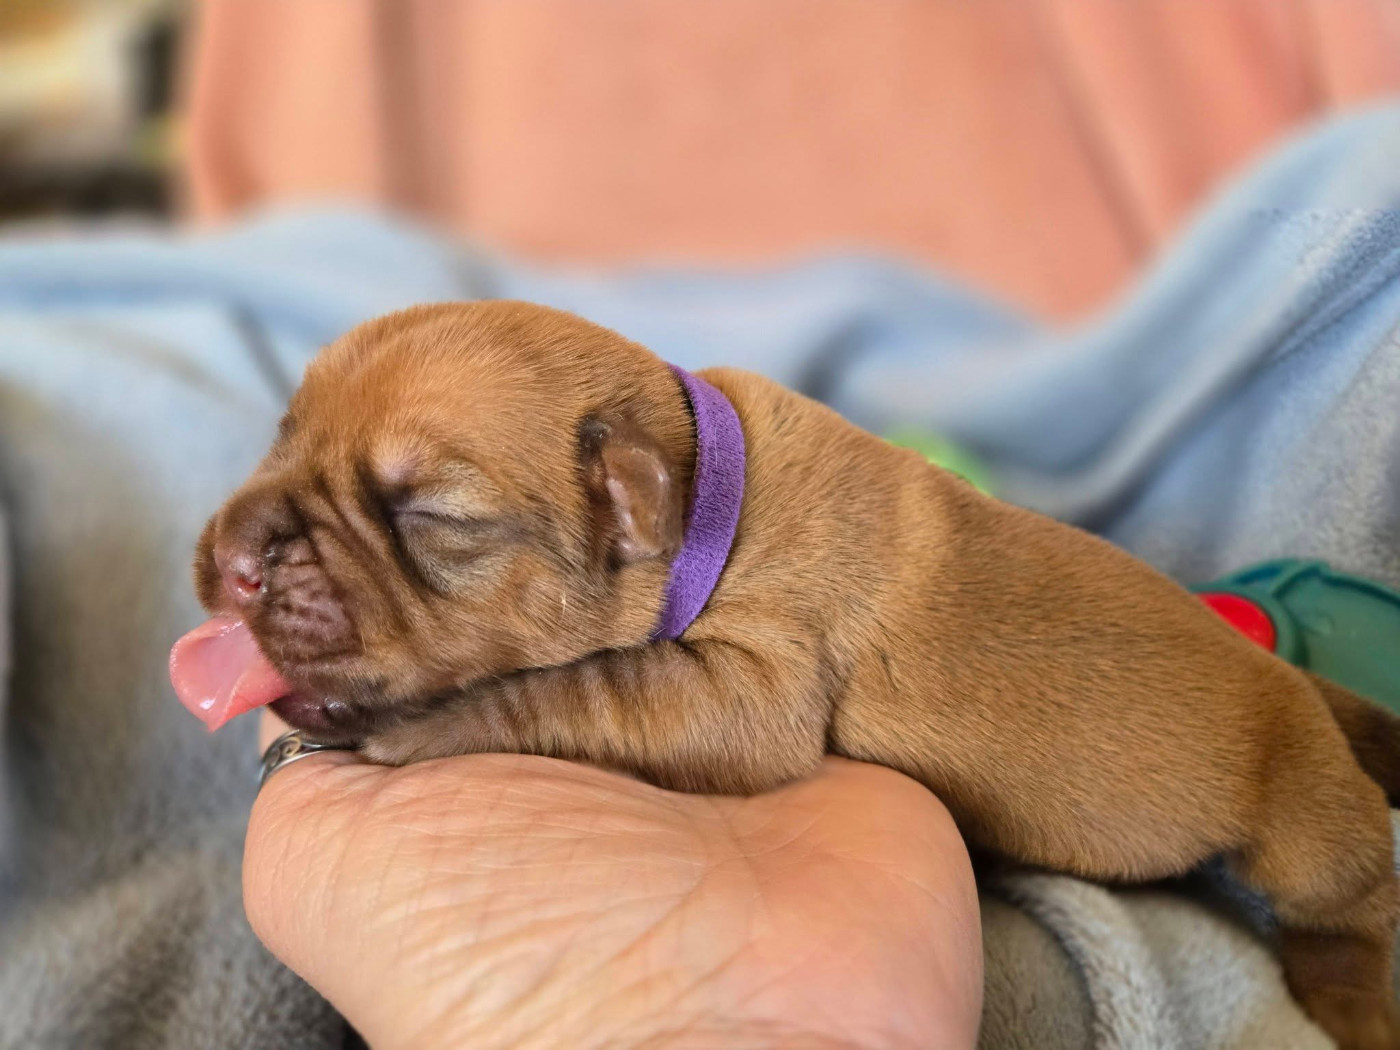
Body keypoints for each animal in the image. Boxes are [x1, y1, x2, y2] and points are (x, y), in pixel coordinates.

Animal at [183, 301, 1400, 1048]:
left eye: (430, 516)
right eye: (280, 433)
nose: (234, 556)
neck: (706, 486)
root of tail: (1306, 698)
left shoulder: (749, 692)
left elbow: (576, 687)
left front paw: (422, 727)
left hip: (1297, 819)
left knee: (1352, 893)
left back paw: (1348, 991)